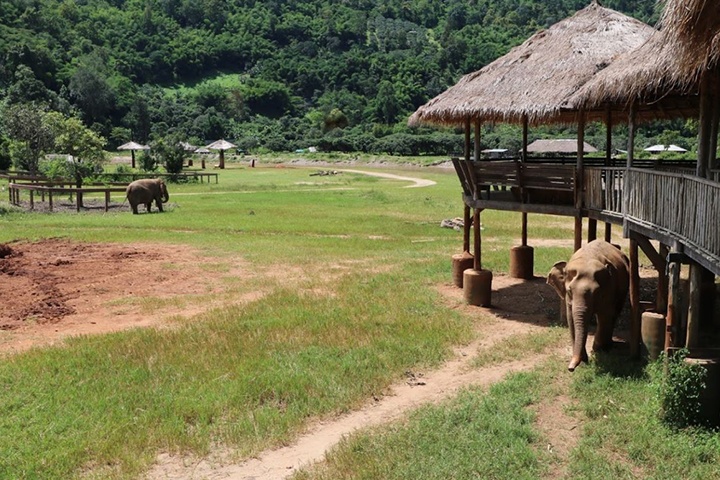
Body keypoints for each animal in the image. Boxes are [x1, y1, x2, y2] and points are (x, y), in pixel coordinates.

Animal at [547, 239, 630, 371]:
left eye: (596, 292)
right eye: (569, 291)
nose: (570, 368)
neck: (586, 258)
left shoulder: (609, 290)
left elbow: (605, 315)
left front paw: (597, 350)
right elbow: (571, 320)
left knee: (614, 314)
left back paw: (606, 345)